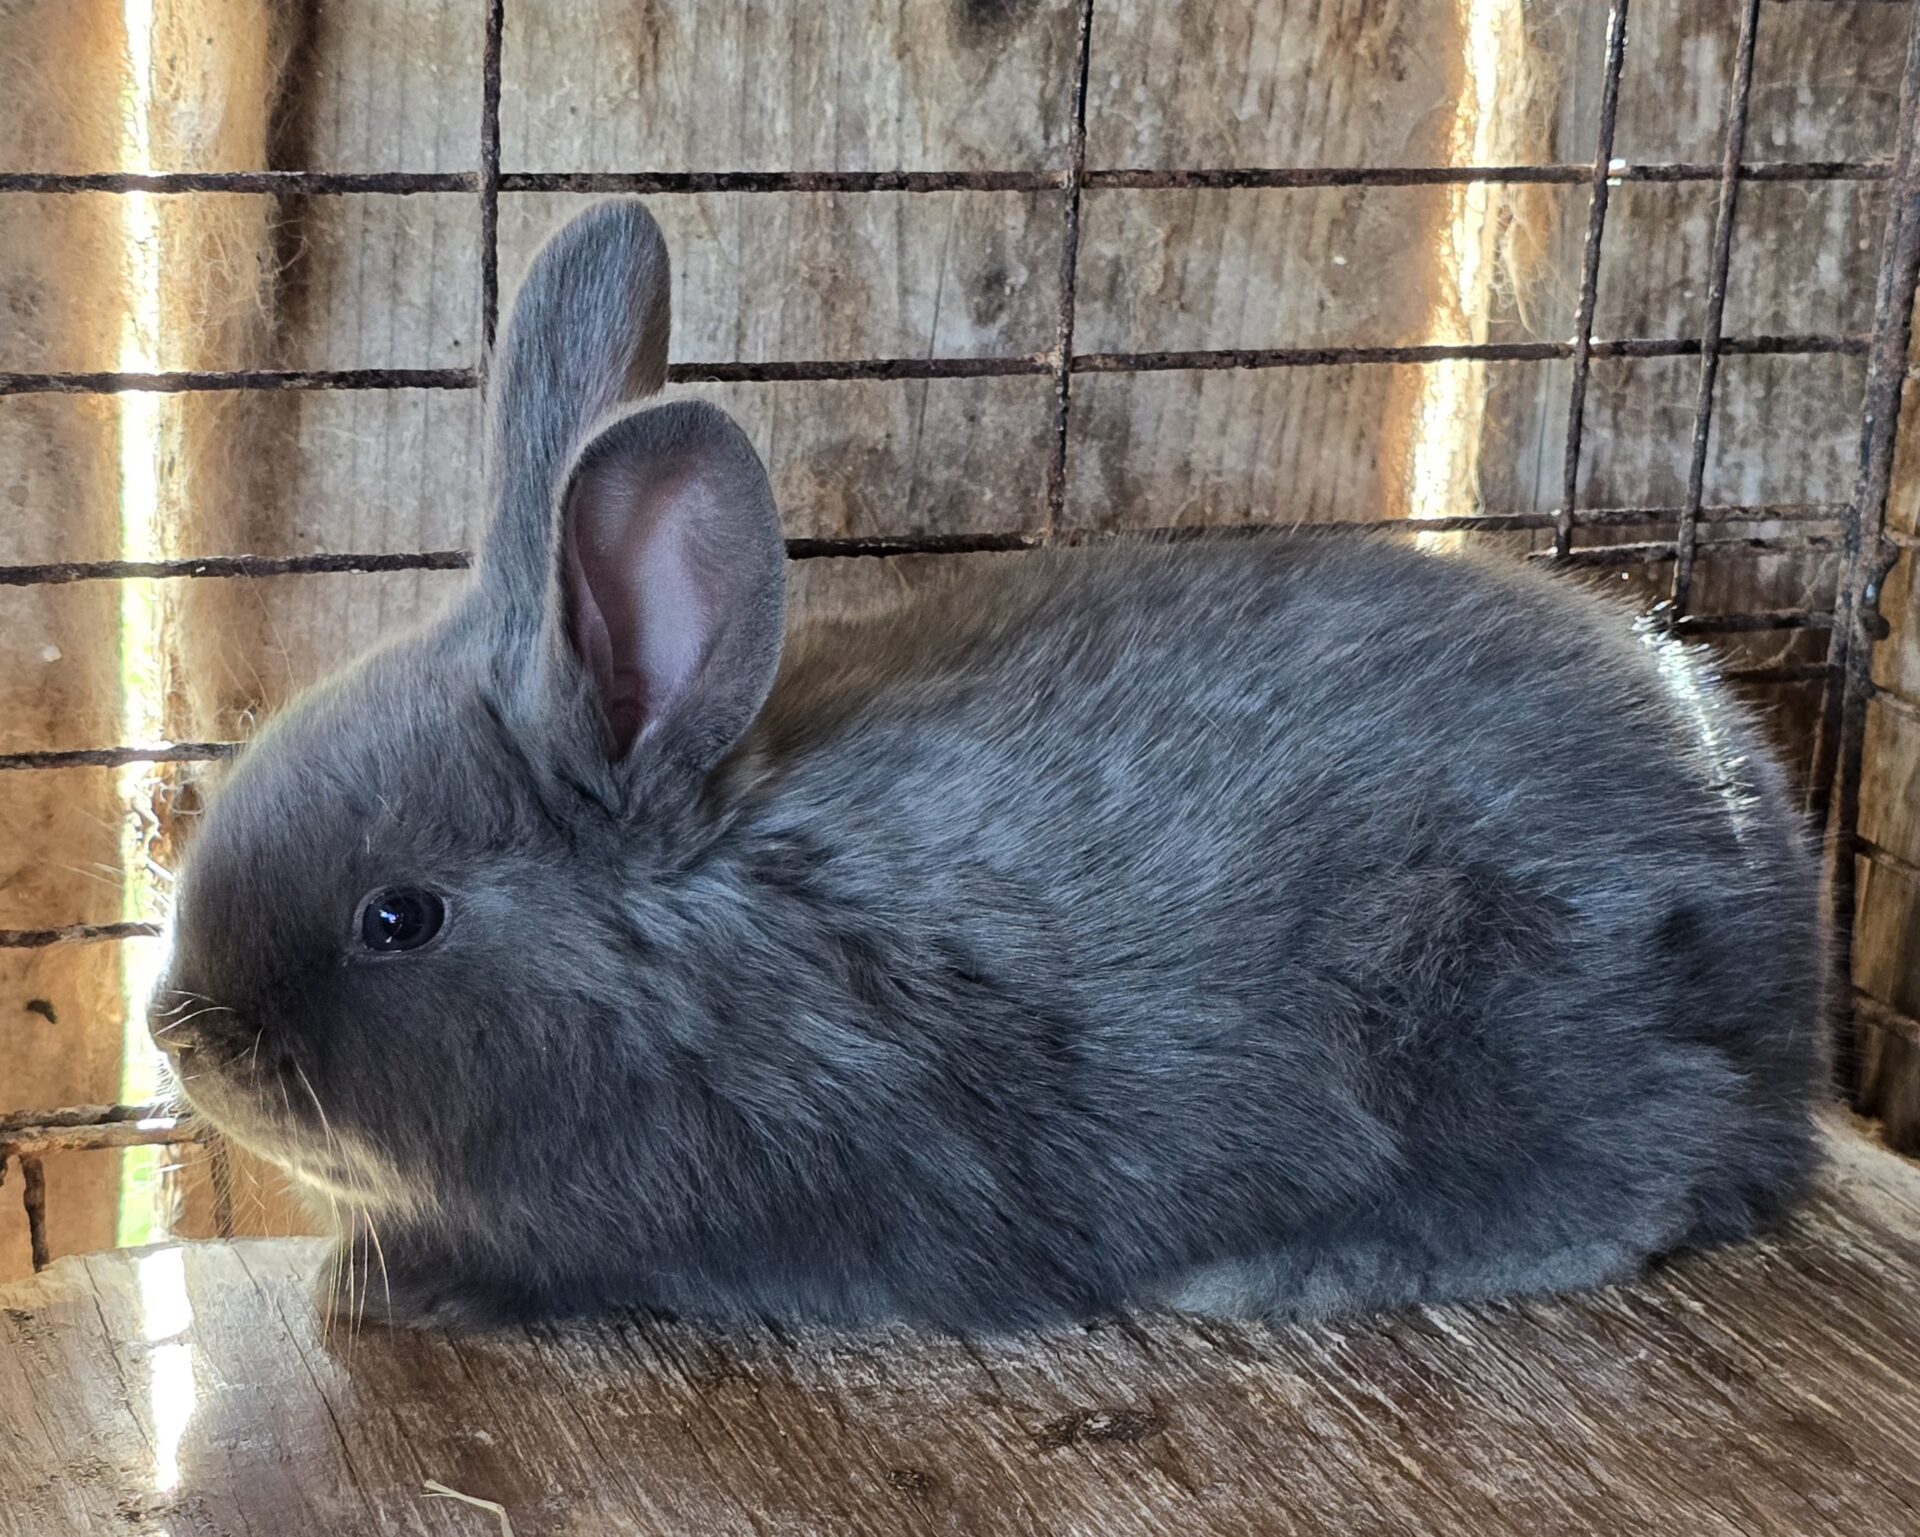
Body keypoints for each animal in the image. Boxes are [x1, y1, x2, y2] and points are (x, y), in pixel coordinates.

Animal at [149, 199, 1829, 1334]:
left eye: (400, 918)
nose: (181, 1037)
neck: (709, 937)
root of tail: (1771, 905)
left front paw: (396, 1283)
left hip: (1498, 999)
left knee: (1632, 1163)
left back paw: (1285, 1269)